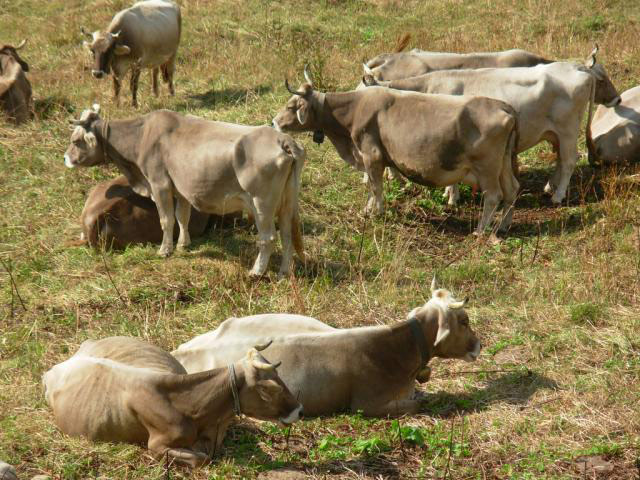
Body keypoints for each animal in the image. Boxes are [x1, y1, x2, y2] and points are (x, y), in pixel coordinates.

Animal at [272, 68, 519, 234]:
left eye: (290, 106)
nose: (273, 122)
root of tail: (502, 105)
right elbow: (373, 188)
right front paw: (368, 209)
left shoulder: (371, 155)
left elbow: (376, 187)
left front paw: (377, 213)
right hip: (504, 164)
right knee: (512, 190)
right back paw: (503, 225)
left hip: (487, 167)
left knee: (494, 195)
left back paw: (480, 230)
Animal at [362, 46, 621, 205]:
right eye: (602, 80)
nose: (617, 100)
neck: (429, 88)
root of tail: (577, 69)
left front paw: (452, 197)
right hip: (555, 133)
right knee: (561, 160)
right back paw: (550, 187)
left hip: (567, 131)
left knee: (568, 161)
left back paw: (557, 196)